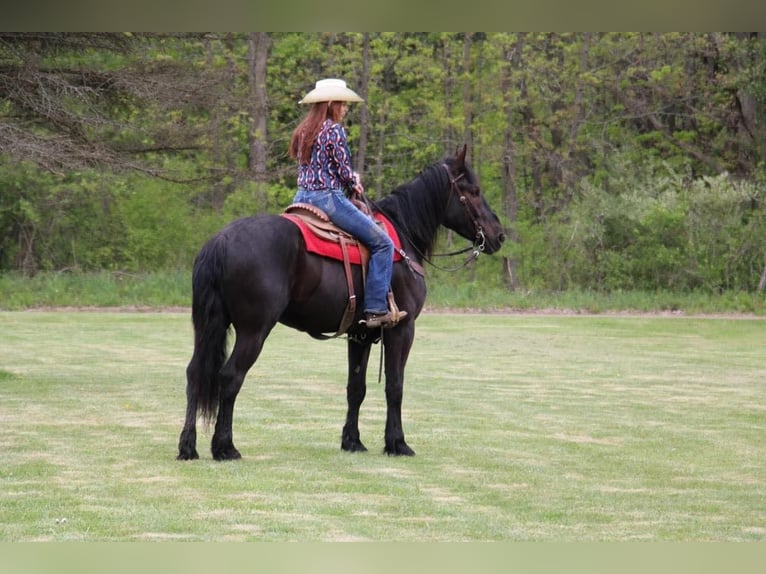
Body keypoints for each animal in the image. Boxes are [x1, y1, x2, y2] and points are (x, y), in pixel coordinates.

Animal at [177, 145, 505, 461]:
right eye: (474, 191)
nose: (499, 235)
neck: (403, 237)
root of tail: (220, 241)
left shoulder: (360, 334)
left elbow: (355, 388)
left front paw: (353, 441)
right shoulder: (402, 329)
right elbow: (395, 386)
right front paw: (397, 443)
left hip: (210, 326)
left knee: (195, 374)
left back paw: (188, 447)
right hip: (253, 331)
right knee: (230, 378)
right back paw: (225, 447)